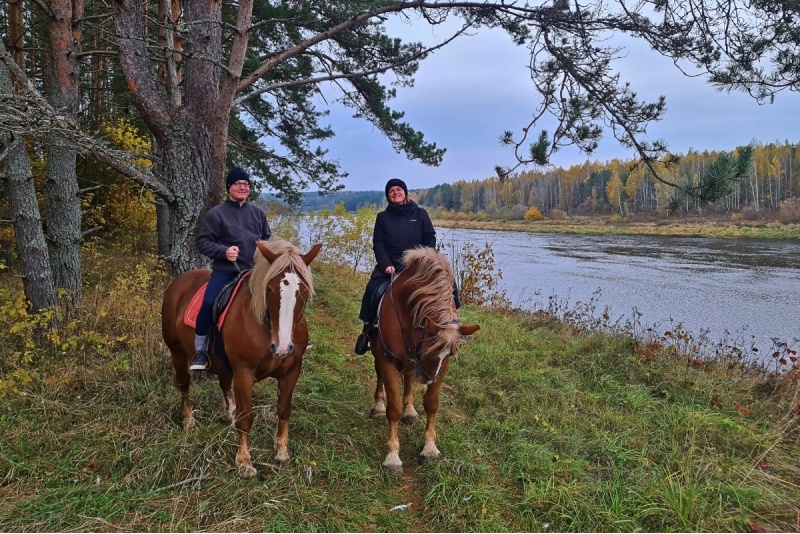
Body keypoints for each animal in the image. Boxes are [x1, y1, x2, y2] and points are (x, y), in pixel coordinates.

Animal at [159, 239, 322, 478]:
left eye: (302, 291)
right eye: (269, 289)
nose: (282, 347)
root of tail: (178, 282)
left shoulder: (292, 371)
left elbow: (284, 409)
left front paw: (281, 452)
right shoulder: (244, 372)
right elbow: (246, 418)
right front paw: (244, 461)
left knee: (224, 383)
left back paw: (230, 413)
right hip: (177, 352)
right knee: (184, 385)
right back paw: (188, 420)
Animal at [368, 249, 482, 476]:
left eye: (450, 354)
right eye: (431, 349)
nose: (427, 378)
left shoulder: (440, 368)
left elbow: (431, 404)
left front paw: (429, 447)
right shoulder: (388, 361)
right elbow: (393, 408)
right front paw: (392, 457)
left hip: (410, 362)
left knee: (408, 377)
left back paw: (410, 410)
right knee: (380, 376)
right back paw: (379, 404)